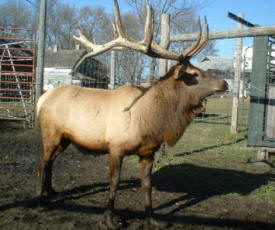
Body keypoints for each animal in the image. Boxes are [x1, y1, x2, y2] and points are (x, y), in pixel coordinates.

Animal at [36, 0, 229, 229]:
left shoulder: (148, 151)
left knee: (51, 162)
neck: (152, 120)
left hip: (65, 138)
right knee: (43, 163)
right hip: (50, 133)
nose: (225, 83)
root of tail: (41, 100)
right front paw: (110, 219)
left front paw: (152, 218)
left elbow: (147, 184)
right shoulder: (115, 147)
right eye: (194, 74)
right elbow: (114, 182)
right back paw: (40, 199)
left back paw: (51, 192)